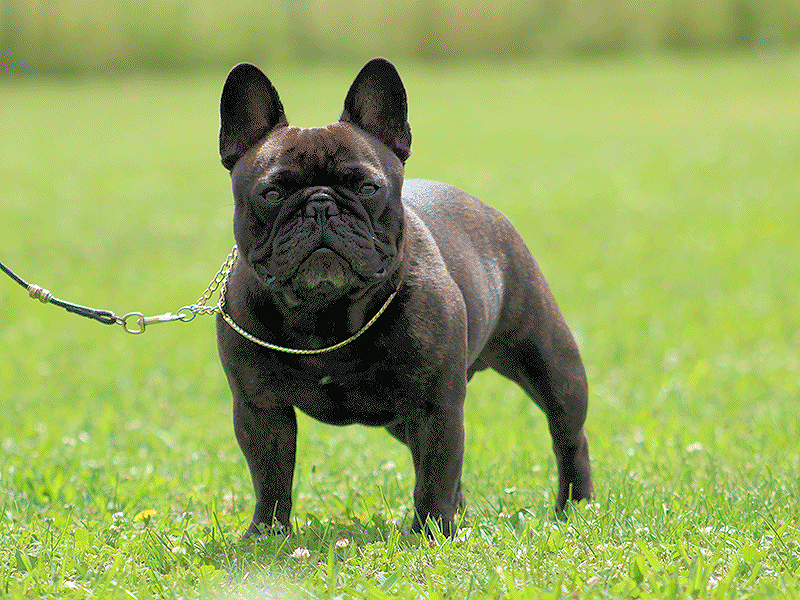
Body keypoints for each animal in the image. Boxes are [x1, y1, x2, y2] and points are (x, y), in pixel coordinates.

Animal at [216, 57, 592, 536]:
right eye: (272, 193)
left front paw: (431, 533)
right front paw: (268, 534)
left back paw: (577, 504)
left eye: (367, 188)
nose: (320, 205)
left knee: (568, 436)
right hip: (402, 419)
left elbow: (434, 472)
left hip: (550, 362)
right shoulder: (261, 408)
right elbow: (271, 476)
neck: (326, 314)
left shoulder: (435, 404)